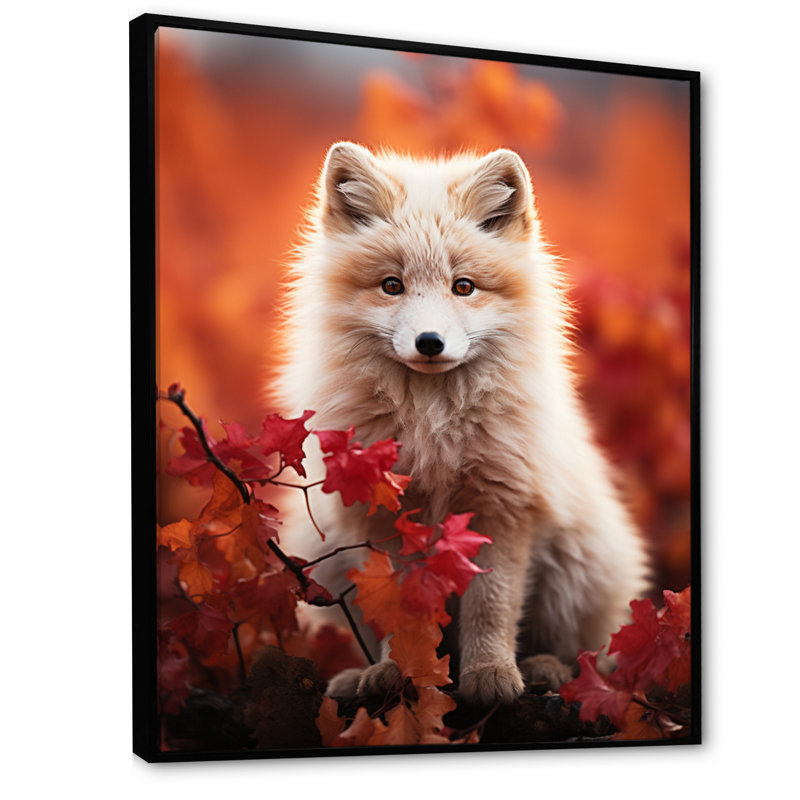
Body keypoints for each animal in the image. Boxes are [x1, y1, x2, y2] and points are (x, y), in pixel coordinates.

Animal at [276, 141, 650, 706]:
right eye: (392, 286)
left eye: (463, 286)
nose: (430, 342)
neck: (433, 427)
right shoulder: (385, 520)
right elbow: (399, 614)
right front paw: (397, 672)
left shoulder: (502, 507)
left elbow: (490, 606)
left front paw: (490, 675)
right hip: (330, 559)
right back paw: (356, 678)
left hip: (575, 567)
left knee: (582, 652)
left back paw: (547, 670)